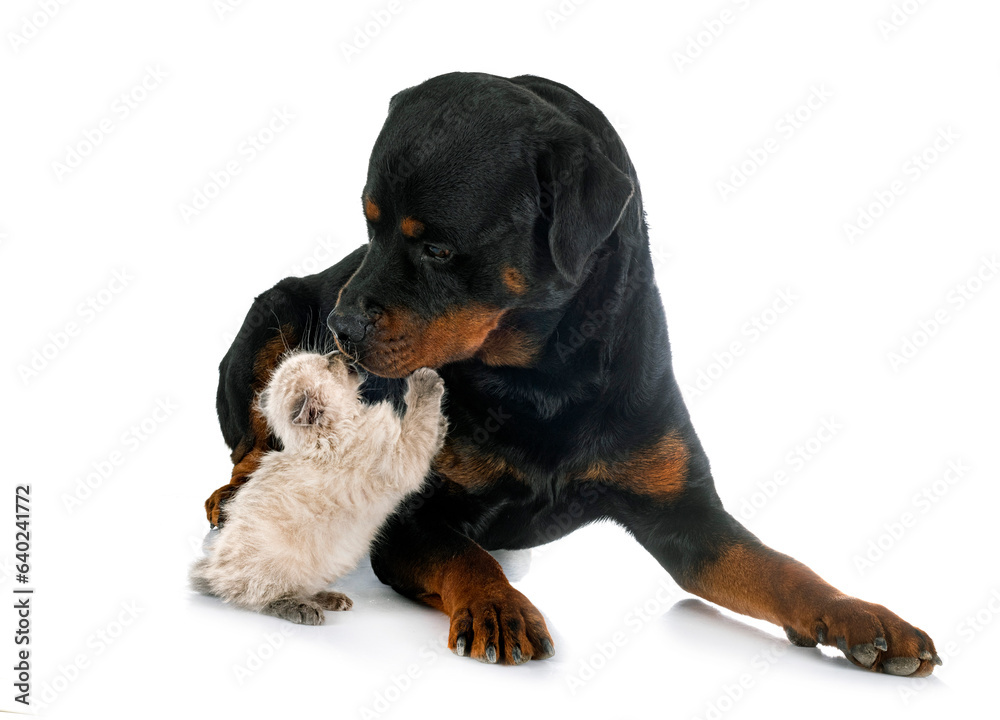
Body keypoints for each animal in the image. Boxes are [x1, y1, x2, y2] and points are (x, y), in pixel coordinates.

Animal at [190, 350, 446, 624]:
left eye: (325, 358)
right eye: (329, 365)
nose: (336, 353)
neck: (331, 435)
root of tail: (214, 572)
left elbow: (431, 430)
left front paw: (443, 424)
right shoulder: (403, 454)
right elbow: (419, 419)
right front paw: (425, 380)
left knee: (301, 588)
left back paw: (331, 599)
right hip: (279, 569)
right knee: (262, 598)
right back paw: (303, 609)